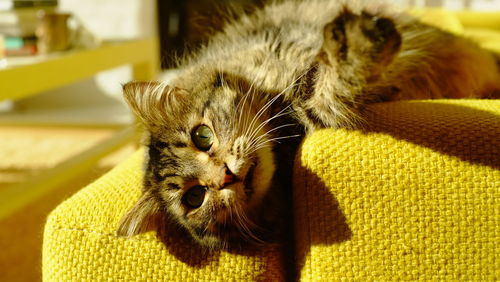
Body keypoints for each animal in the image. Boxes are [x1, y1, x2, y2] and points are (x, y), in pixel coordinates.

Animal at [115, 0, 498, 251]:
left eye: (202, 136)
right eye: (194, 198)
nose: (225, 176)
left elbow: (332, 71)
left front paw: (359, 42)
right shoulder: (318, 107)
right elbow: (331, 92)